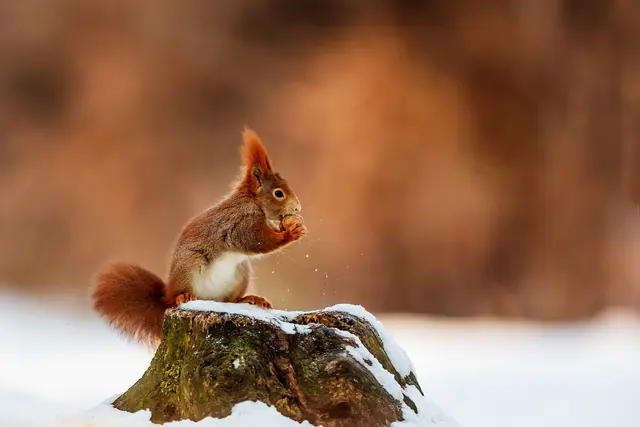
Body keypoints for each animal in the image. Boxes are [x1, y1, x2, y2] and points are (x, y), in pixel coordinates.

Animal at [90, 127, 306, 346]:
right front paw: (290, 233)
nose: (298, 208)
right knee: (178, 297)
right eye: (278, 193)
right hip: (190, 264)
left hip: (241, 272)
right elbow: (256, 241)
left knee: (228, 301)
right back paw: (182, 297)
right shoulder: (241, 224)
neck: (252, 201)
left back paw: (248, 299)